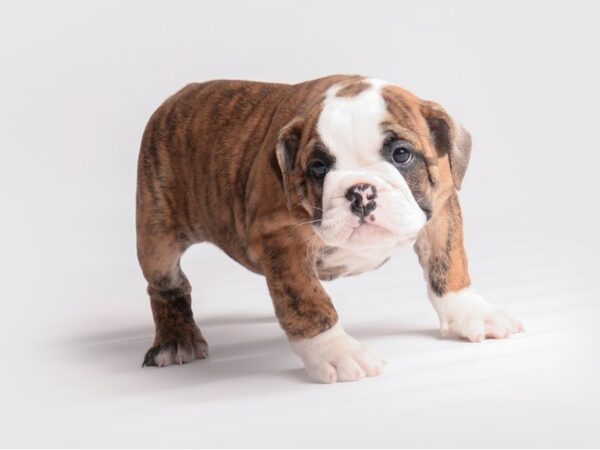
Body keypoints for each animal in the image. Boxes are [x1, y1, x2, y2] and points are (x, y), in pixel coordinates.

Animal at [138, 74, 524, 384]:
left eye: (401, 154)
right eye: (318, 167)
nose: (360, 190)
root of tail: (178, 96)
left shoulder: (442, 207)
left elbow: (449, 264)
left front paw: (471, 312)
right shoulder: (281, 241)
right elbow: (309, 303)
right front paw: (337, 353)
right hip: (157, 238)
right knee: (166, 286)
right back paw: (177, 340)